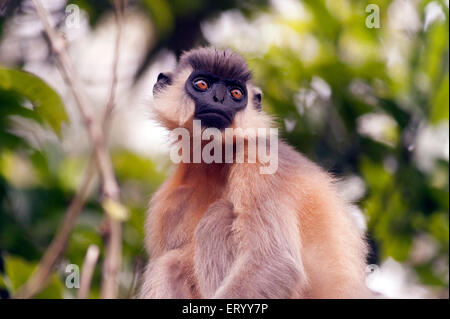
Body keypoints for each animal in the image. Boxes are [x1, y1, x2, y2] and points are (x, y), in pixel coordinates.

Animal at [140, 47, 370, 300]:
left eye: (236, 93)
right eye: (201, 84)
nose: (219, 98)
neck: (214, 164)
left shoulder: (259, 159)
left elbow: (275, 262)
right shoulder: (167, 202)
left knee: (218, 217)